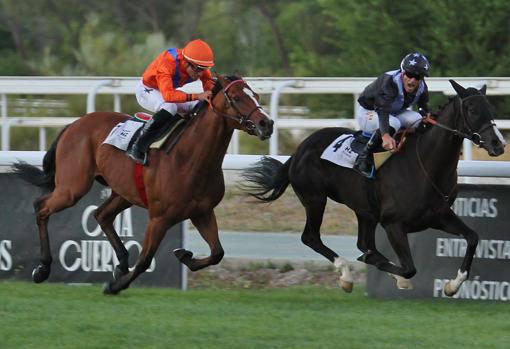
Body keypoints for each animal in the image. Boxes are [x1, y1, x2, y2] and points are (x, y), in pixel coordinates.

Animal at [13, 73, 272, 294]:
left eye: (256, 96)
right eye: (237, 97)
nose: (266, 124)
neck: (188, 159)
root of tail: (73, 124)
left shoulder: (202, 212)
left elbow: (218, 252)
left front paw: (184, 255)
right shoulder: (159, 218)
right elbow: (145, 260)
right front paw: (115, 287)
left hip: (123, 192)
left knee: (101, 215)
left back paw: (120, 264)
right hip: (72, 187)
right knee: (41, 207)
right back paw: (42, 269)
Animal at [243, 80, 506, 294]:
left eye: (490, 110)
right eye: (472, 110)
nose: (498, 143)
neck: (427, 165)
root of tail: (299, 150)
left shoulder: (439, 216)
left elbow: (472, 237)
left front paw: (452, 285)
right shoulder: (393, 224)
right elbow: (409, 268)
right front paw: (390, 271)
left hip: (364, 210)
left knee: (363, 242)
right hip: (315, 199)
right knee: (311, 237)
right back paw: (347, 275)